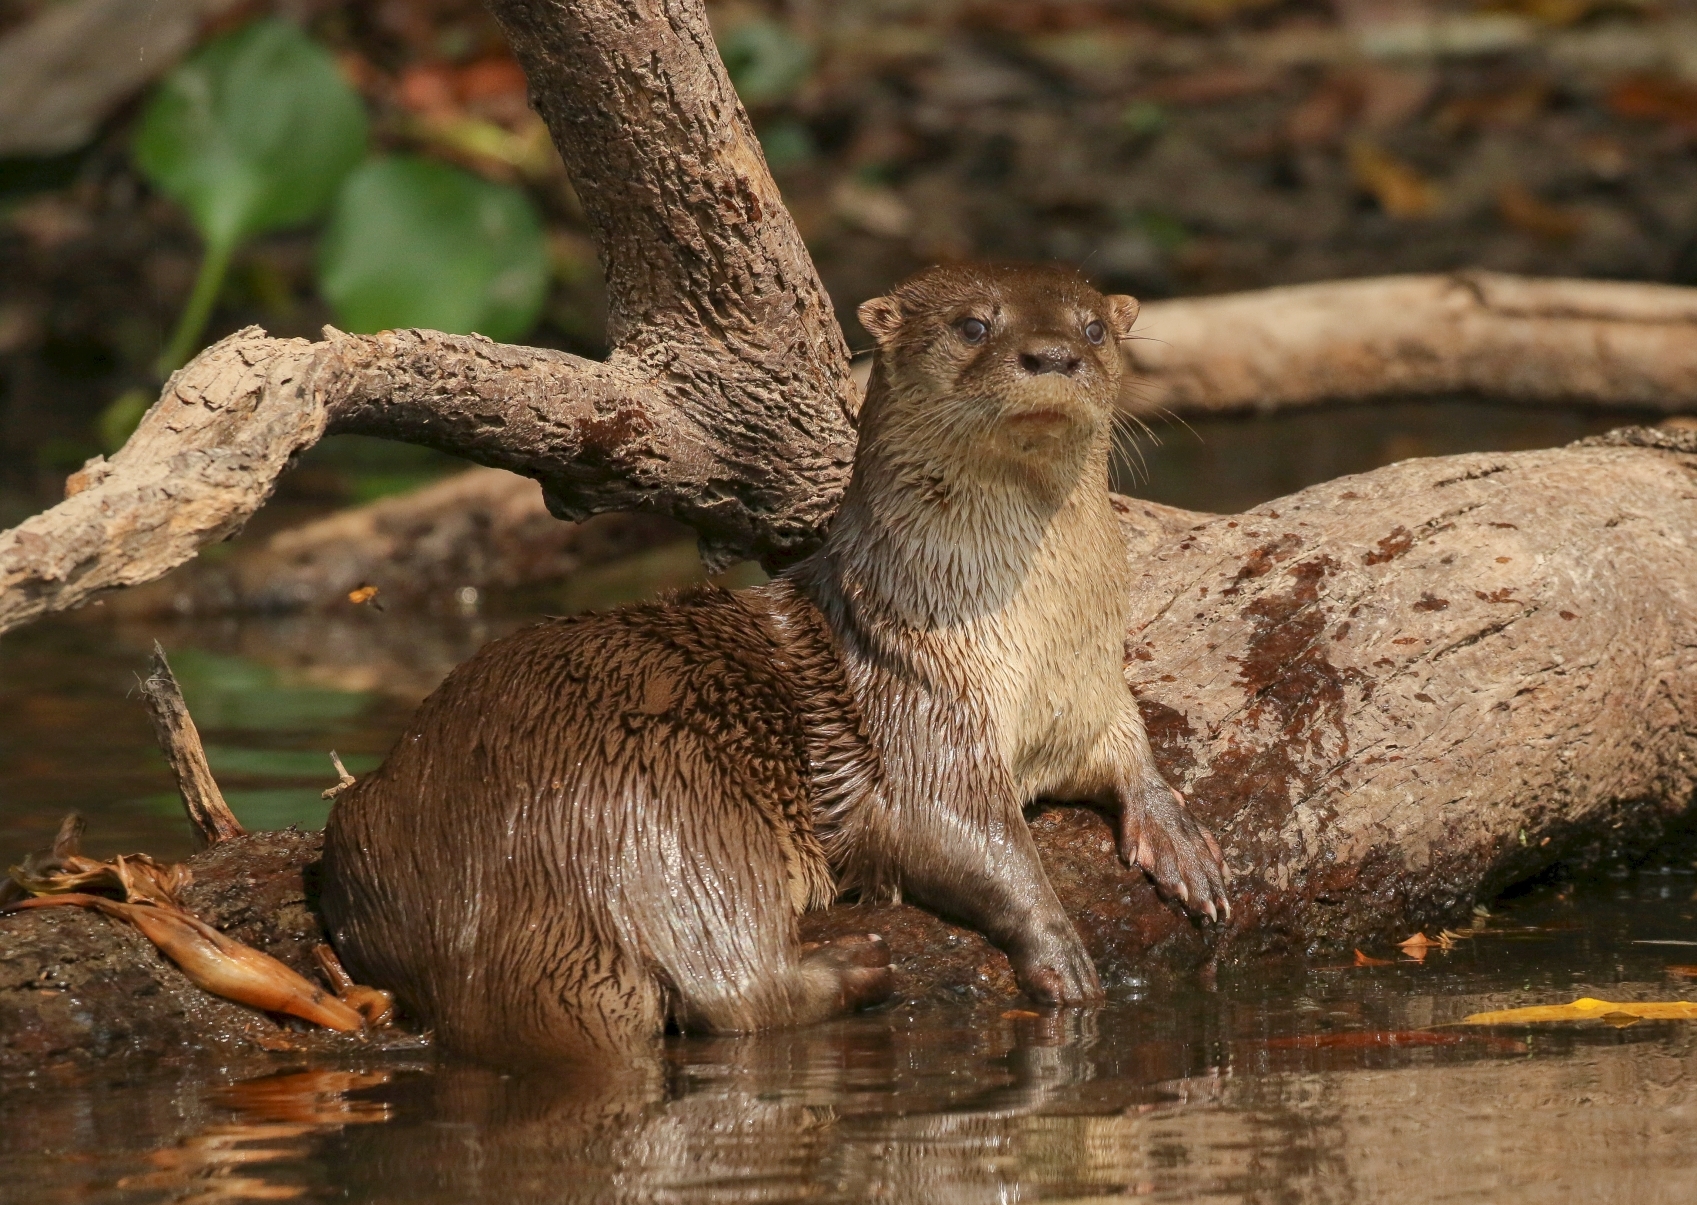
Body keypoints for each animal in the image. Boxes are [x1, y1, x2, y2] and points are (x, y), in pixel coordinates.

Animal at [320, 266, 1221, 1065]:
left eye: (1093, 328)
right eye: (972, 324)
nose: (1053, 355)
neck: (1030, 648)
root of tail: (479, 909)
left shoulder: (1090, 692)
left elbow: (1130, 749)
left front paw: (1178, 835)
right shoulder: (920, 705)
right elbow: (961, 832)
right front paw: (1058, 944)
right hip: (679, 806)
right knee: (730, 984)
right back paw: (856, 966)